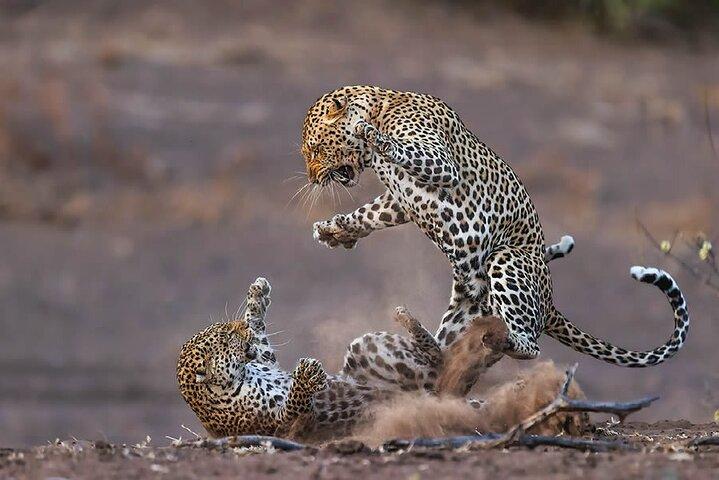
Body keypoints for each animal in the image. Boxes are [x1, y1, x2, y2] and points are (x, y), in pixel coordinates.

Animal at [177, 277, 446, 439]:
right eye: (226, 337)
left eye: (225, 329)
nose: (241, 328)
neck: (240, 376)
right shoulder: (284, 426)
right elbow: (294, 403)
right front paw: (307, 374)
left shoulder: (265, 360)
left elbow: (259, 335)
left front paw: (257, 294)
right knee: (439, 363)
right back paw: (407, 320)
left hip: (364, 346)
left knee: (439, 361)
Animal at [300, 85, 690, 392]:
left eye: (316, 150)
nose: (314, 178)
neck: (382, 104)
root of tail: (549, 304)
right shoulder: (400, 200)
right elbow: (371, 213)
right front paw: (335, 230)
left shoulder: (438, 163)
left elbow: (395, 148)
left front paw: (368, 134)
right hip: (465, 314)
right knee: (442, 361)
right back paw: (420, 333)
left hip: (506, 259)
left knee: (530, 346)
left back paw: (505, 338)